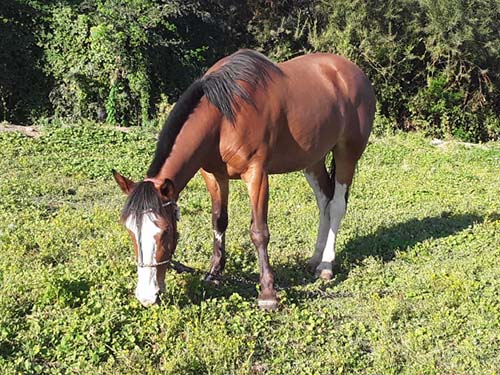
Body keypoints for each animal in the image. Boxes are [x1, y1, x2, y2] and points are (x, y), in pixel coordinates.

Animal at [113, 48, 376, 310]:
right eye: (130, 230)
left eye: (165, 231)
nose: (146, 296)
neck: (224, 117)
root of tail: (351, 72)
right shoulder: (214, 176)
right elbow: (219, 222)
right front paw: (214, 274)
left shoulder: (256, 175)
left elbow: (259, 232)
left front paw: (268, 293)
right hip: (312, 160)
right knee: (324, 202)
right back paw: (315, 258)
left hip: (347, 153)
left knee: (337, 206)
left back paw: (326, 265)